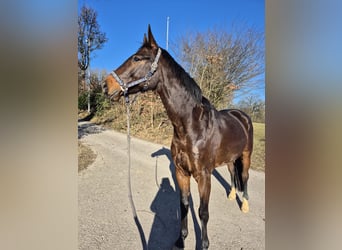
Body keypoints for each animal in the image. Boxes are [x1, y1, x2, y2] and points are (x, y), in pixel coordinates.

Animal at [101, 25, 251, 250]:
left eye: (137, 58)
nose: (105, 85)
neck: (192, 126)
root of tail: (241, 115)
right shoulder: (182, 172)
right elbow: (184, 205)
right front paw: (180, 240)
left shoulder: (204, 176)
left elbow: (203, 212)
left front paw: (204, 244)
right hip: (230, 157)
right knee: (233, 173)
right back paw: (233, 195)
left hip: (246, 155)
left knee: (245, 177)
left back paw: (245, 205)